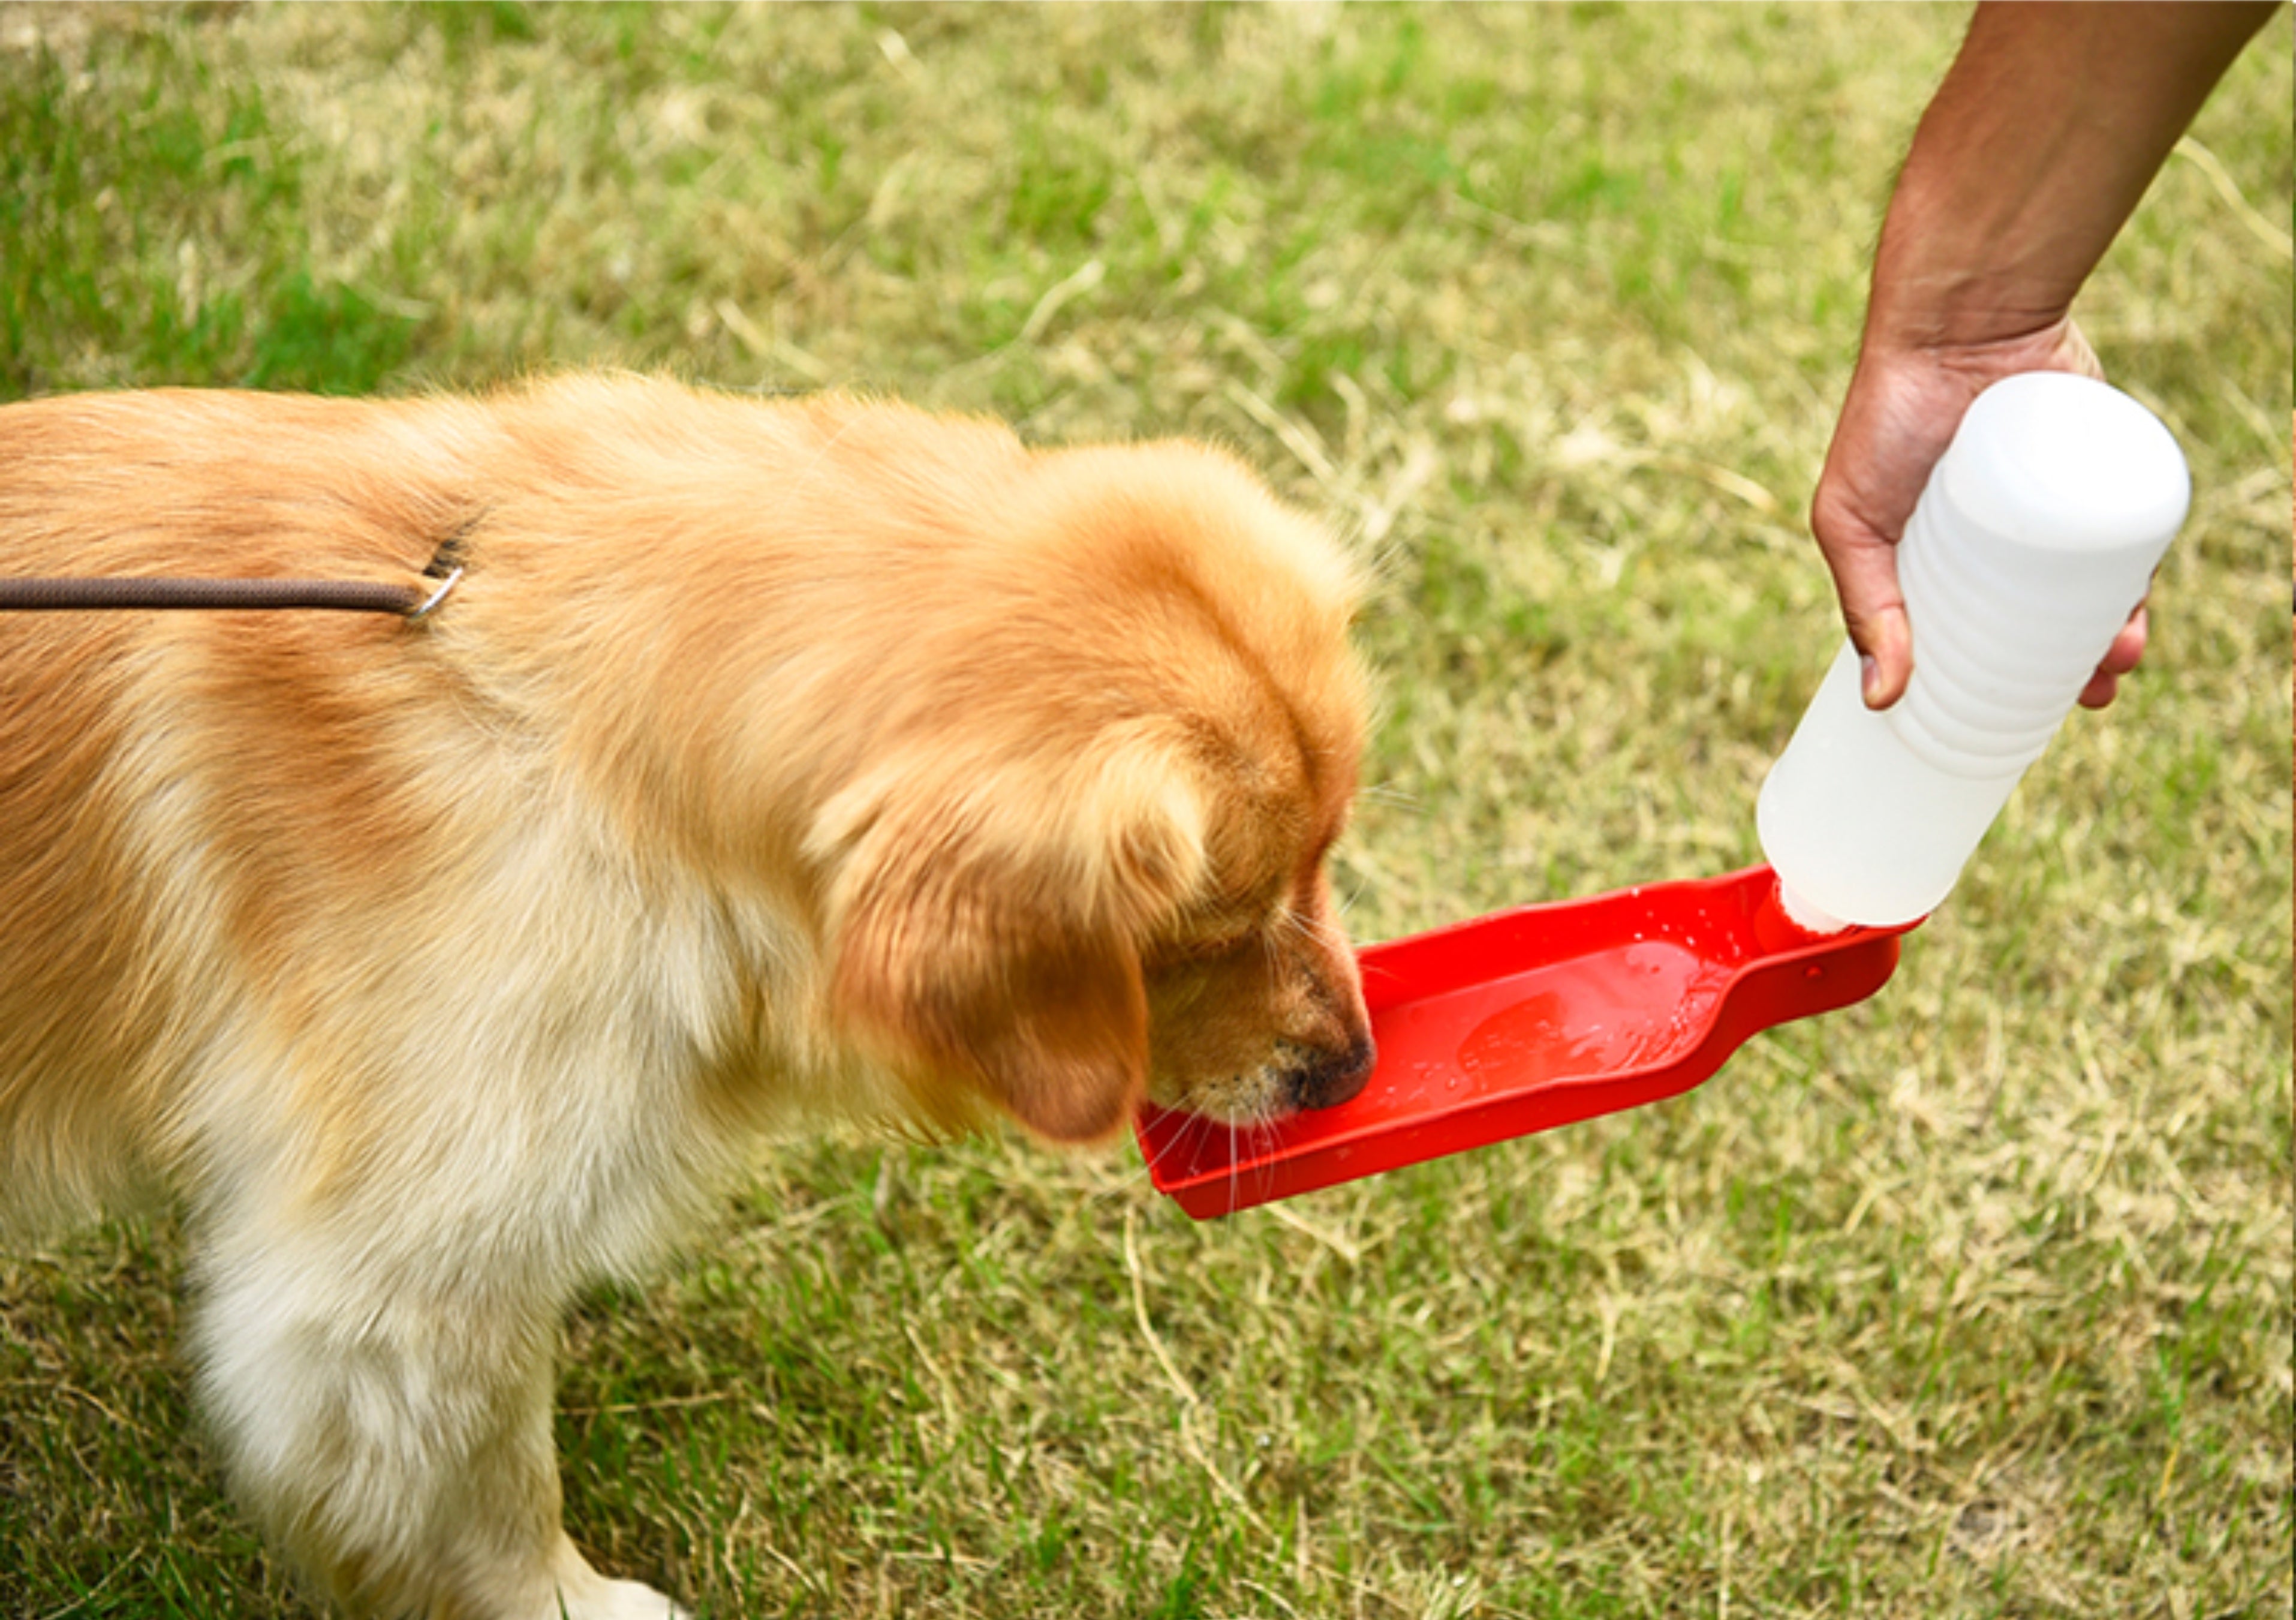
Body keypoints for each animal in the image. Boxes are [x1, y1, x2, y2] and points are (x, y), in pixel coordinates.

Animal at [0, 372, 1359, 1608]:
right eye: (1209, 931)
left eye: (1324, 858)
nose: (1349, 1068)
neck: (546, 731)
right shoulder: (394, 1289)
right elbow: (485, 1484)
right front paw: (569, 1602)